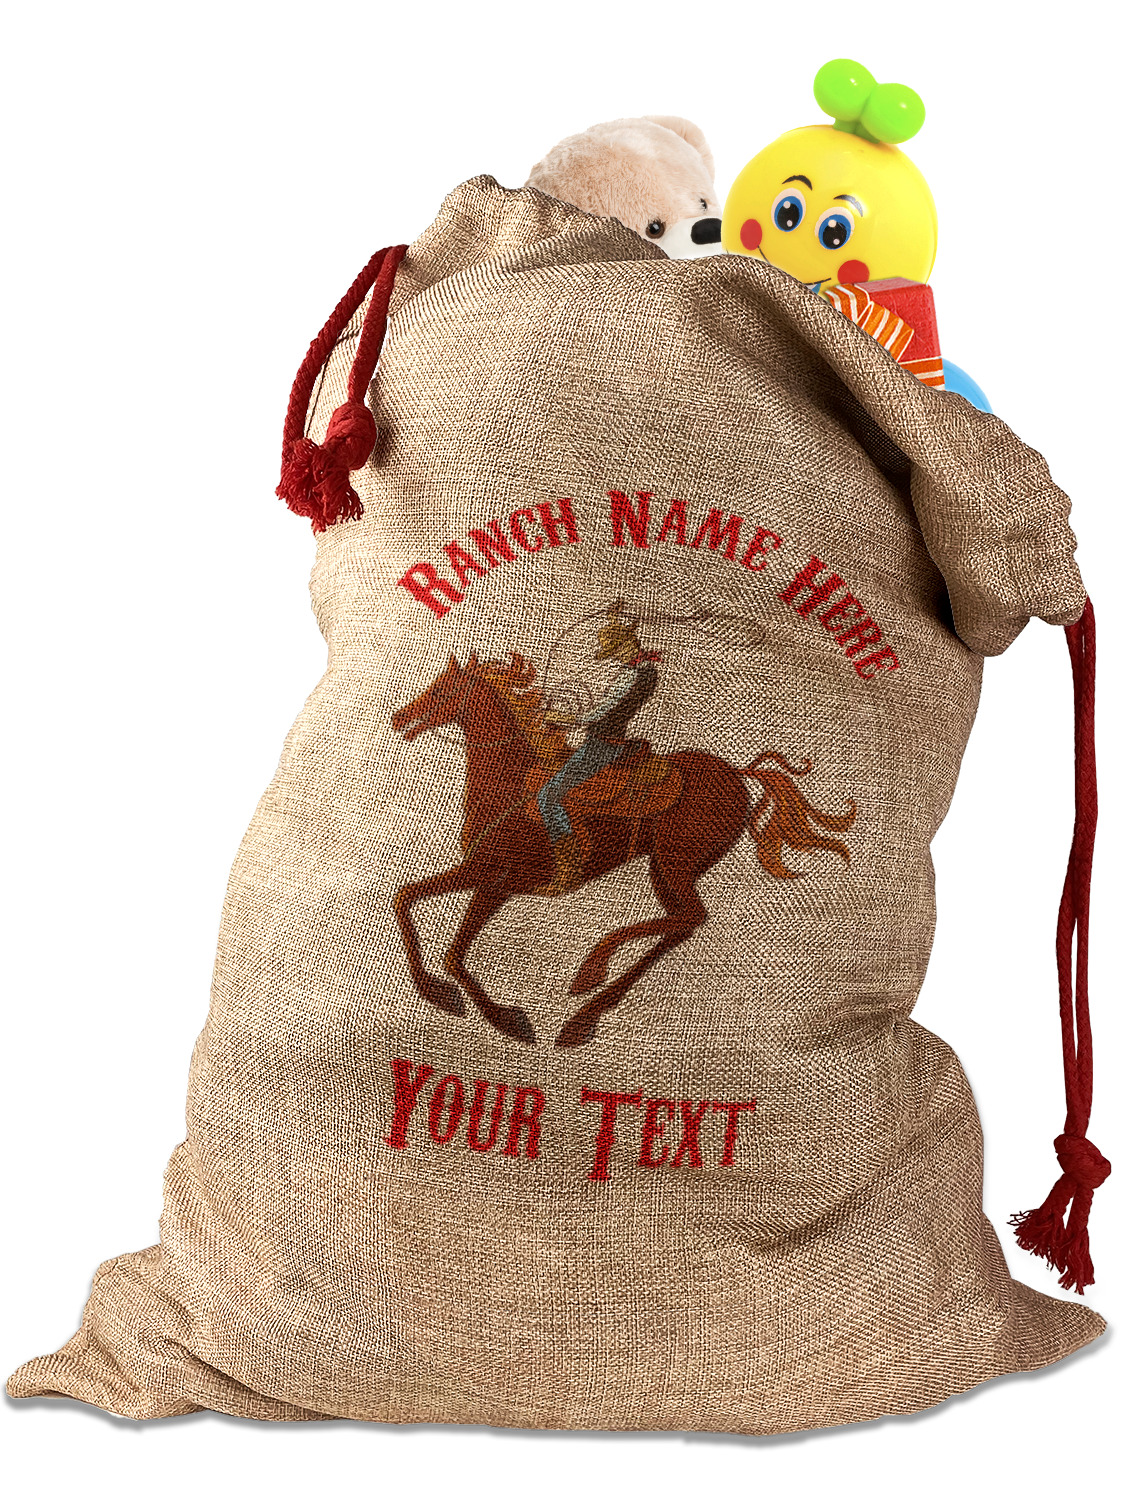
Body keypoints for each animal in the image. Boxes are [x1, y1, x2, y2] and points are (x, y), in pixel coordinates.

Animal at [390, 651, 856, 1048]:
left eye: (443, 689)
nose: (398, 717)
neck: (511, 788)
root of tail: (739, 774)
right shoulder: (480, 873)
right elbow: (406, 897)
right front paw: (442, 995)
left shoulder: (498, 880)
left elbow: (452, 953)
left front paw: (506, 1019)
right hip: (671, 866)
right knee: (683, 921)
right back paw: (588, 1000)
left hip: (671, 863)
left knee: (687, 918)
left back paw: (588, 987)